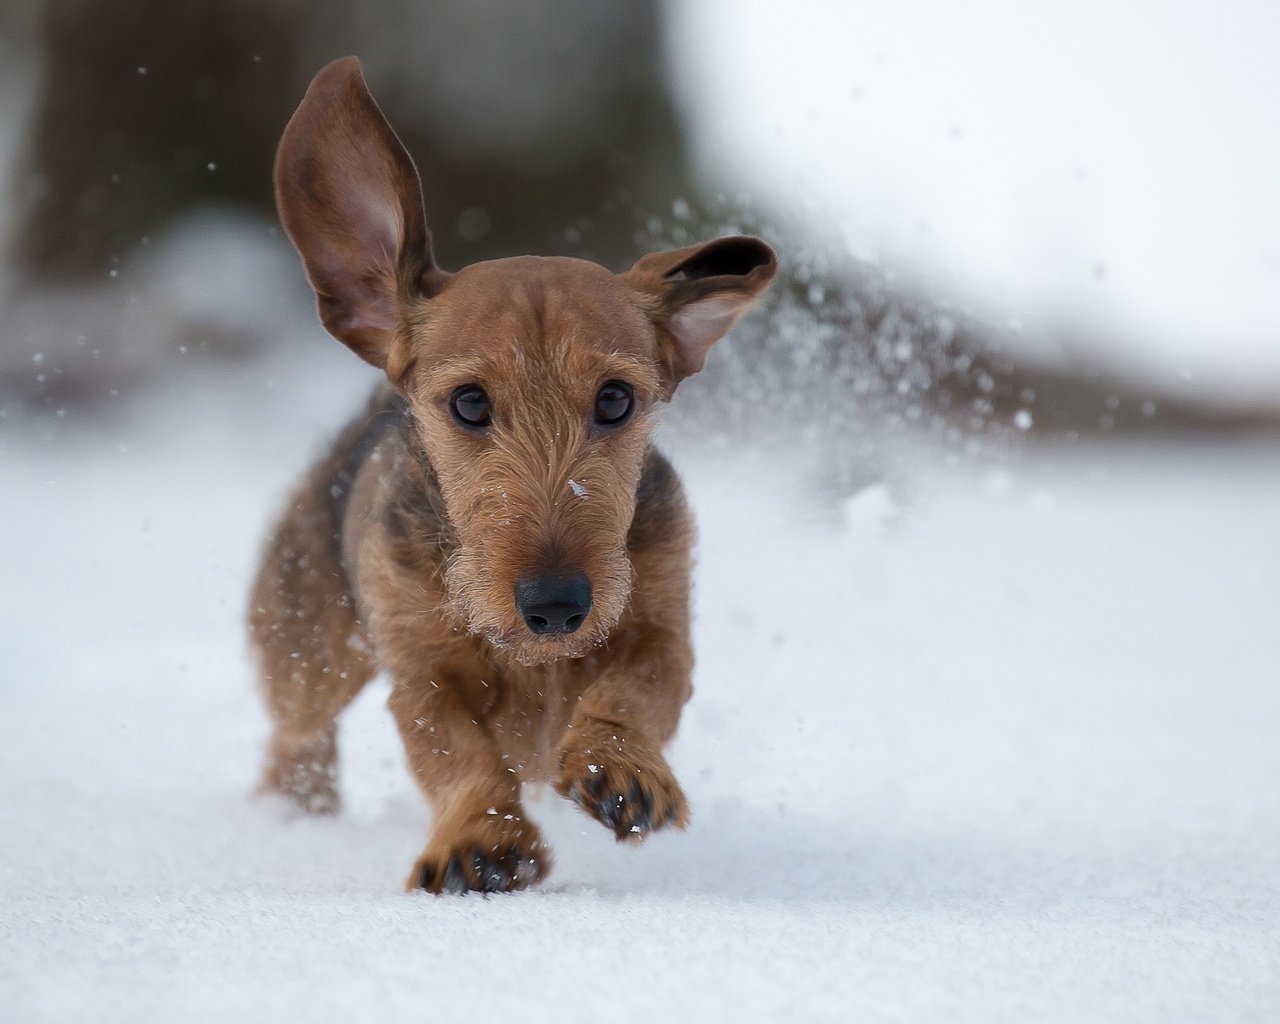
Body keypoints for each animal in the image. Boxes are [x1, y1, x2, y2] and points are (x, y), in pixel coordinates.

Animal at [244, 56, 773, 890]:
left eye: (616, 399)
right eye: (468, 402)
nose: (555, 606)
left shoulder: (661, 625)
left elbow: (637, 688)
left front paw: (621, 766)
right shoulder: (423, 673)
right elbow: (454, 750)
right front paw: (480, 838)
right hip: (308, 650)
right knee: (295, 736)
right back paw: (294, 814)